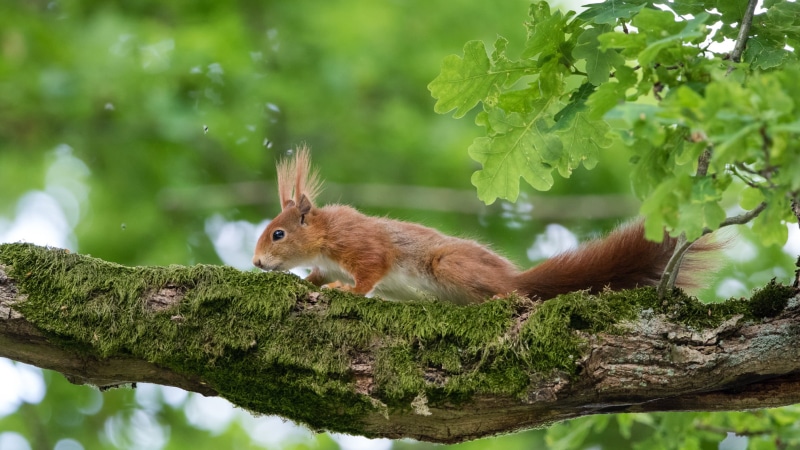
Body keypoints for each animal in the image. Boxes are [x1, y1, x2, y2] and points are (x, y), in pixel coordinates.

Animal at [252, 147, 715, 304]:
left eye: (278, 233)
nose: (256, 263)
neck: (325, 236)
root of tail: (514, 277)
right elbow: (314, 276)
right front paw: (307, 282)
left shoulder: (361, 245)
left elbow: (370, 272)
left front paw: (345, 290)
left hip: (450, 265)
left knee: (513, 295)